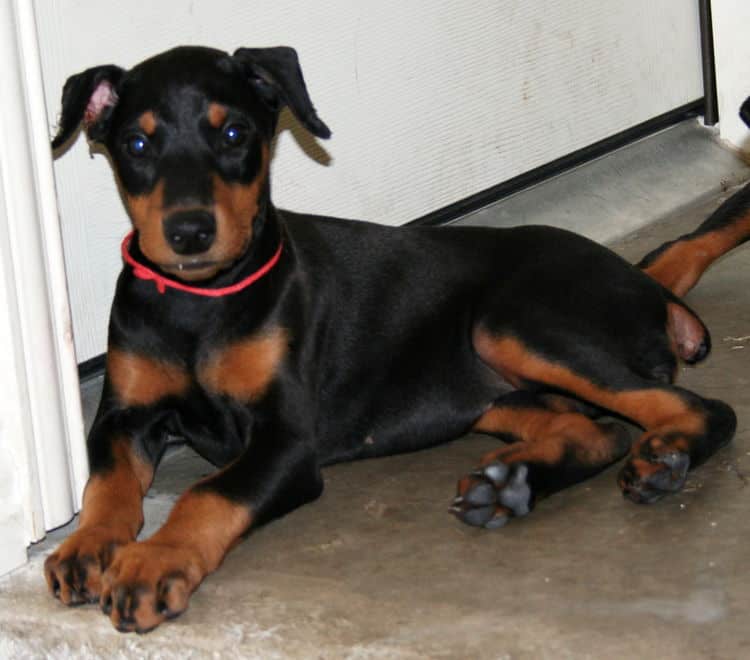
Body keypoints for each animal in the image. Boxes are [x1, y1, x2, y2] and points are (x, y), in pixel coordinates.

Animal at [45, 43, 750, 632]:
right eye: (138, 143)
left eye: (236, 133)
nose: (189, 231)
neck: (200, 304)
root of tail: (646, 282)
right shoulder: (125, 414)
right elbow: (105, 480)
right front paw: (86, 545)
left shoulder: (286, 440)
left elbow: (207, 492)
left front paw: (151, 561)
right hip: (481, 391)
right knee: (596, 431)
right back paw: (508, 487)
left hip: (513, 323)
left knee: (698, 408)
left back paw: (662, 461)